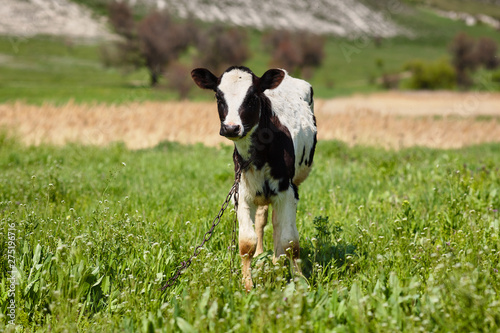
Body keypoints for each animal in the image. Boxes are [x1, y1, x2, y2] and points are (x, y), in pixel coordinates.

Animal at [191, 66, 316, 290]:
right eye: (218, 96)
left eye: (252, 97)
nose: (231, 127)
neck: (259, 154)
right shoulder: (241, 193)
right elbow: (246, 242)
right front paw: (247, 285)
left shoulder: (287, 191)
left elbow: (290, 242)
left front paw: (299, 281)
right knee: (263, 220)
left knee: (278, 225)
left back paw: (277, 260)